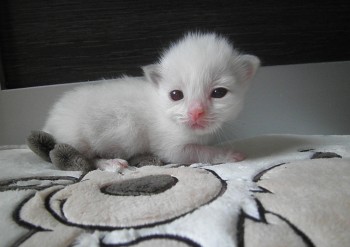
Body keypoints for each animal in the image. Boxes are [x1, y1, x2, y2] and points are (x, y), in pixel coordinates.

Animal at [43, 32, 260, 170]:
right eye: (176, 95)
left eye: (219, 92)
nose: (195, 112)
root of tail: (51, 120)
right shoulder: (169, 146)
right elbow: (200, 152)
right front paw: (229, 154)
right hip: (85, 136)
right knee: (87, 158)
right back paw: (110, 163)